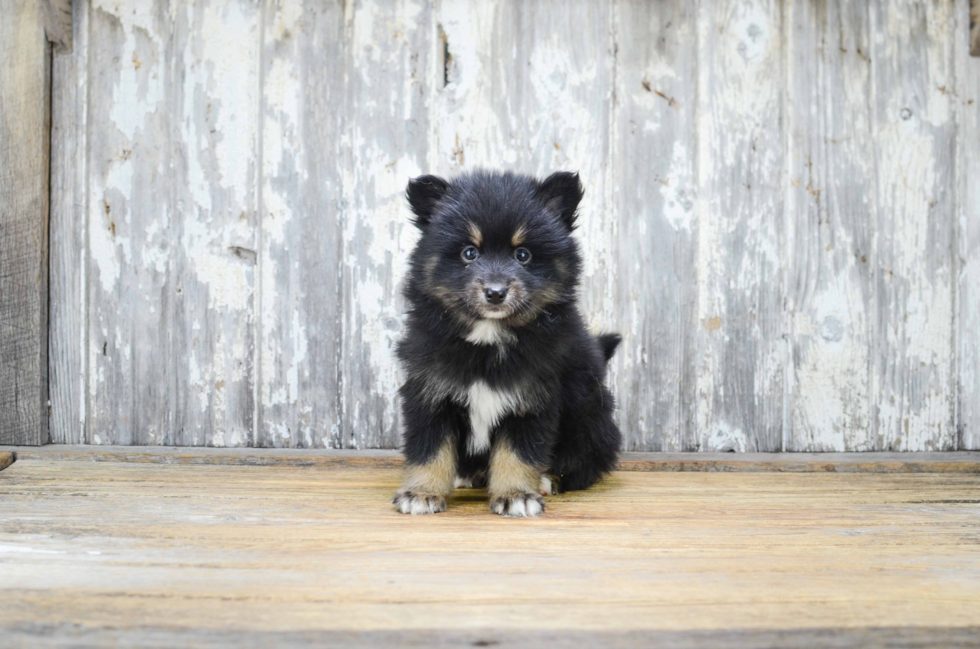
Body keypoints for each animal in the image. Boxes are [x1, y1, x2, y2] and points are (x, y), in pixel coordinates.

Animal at [390, 167, 620, 516]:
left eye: (522, 255)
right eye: (469, 253)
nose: (496, 292)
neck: (488, 339)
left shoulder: (532, 397)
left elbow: (518, 452)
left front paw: (516, 495)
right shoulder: (430, 393)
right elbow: (430, 448)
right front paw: (422, 492)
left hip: (591, 417)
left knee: (583, 463)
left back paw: (547, 479)